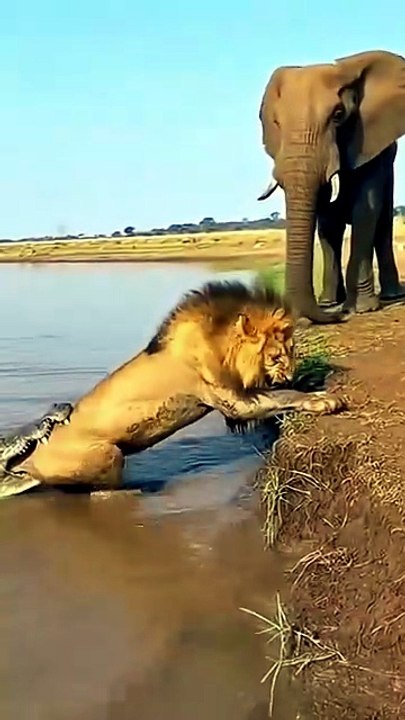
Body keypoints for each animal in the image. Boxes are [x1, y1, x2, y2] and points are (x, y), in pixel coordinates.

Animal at [13, 279, 347, 493]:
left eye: (292, 351)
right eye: (275, 356)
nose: (289, 373)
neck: (220, 344)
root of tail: (29, 460)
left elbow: (281, 393)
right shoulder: (233, 402)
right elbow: (283, 396)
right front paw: (323, 399)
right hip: (107, 457)